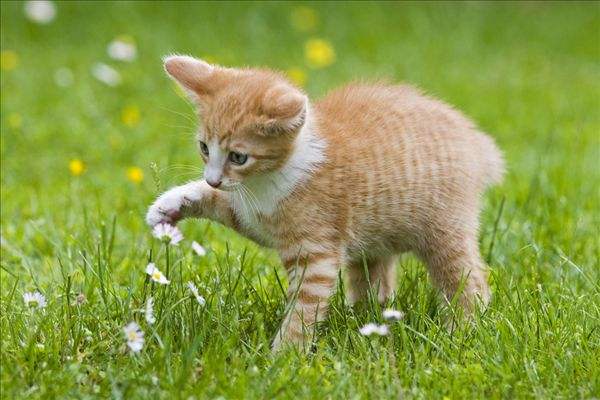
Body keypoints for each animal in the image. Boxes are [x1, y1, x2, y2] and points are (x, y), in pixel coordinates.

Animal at [146, 55, 505, 351]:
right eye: (204, 148)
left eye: (238, 156)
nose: (213, 178)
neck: (269, 179)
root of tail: (476, 142)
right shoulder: (248, 213)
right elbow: (218, 201)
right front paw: (169, 205)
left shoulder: (314, 254)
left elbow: (303, 310)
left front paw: (282, 358)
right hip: (374, 234)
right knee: (374, 276)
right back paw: (365, 317)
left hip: (444, 229)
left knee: (467, 278)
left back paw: (462, 331)